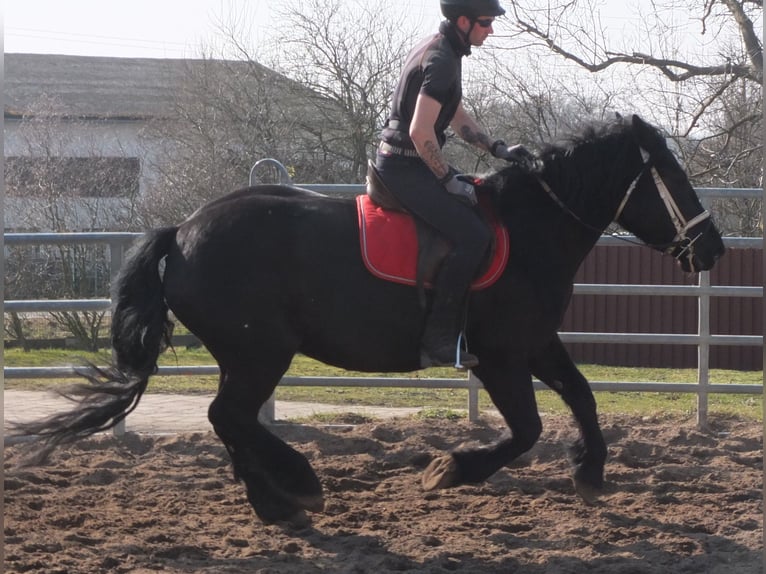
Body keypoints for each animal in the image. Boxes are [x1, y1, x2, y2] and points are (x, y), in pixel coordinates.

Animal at [16, 115, 728, 528]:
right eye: (671, 173)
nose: (714, 247)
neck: (529, 228)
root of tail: (184, 231)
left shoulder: (535, 343)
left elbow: (581, 397)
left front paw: (590, 472)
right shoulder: (500, 357)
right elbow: (525, 430)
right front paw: (450, 469)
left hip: (246, 356)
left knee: (231, 421)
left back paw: (275, 500)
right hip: (259, 353)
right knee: (230, 417)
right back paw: (295, 489)